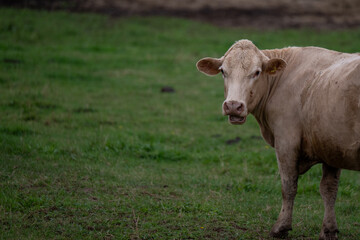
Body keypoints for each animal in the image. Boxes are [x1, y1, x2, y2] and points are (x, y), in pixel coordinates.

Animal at [197, 39, 360, 240]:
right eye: (223, 71)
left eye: (257, 72)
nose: (233, 106)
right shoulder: (331, 145)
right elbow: (329, 189)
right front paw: (328, 230)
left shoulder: (286, 141)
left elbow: (288, 186)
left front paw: (281, 227)